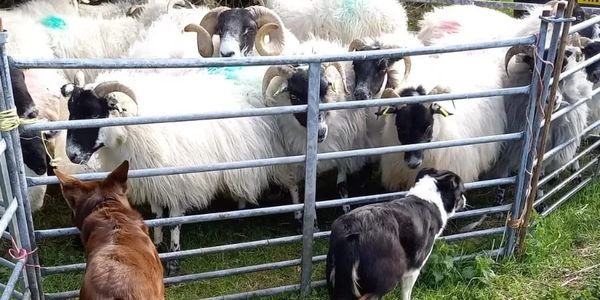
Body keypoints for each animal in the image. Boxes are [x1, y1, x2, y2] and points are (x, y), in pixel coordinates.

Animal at [326, 168, 466, 298]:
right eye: (461, 192)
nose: (465, 199)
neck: (430, 199)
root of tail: (352, 233)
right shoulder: (413, 268)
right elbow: (406, 293)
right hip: (387, 278)